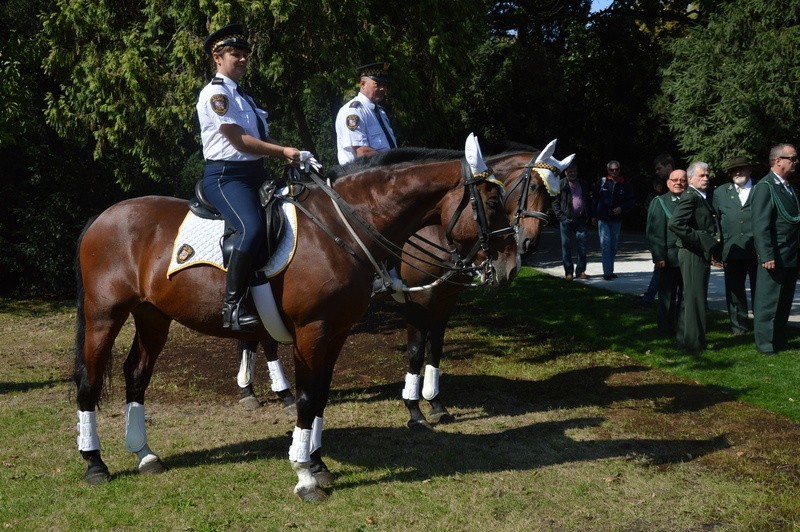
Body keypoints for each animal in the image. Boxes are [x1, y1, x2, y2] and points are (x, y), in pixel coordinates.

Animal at [75, 139, 520, 500]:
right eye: (492, 203)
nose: (510, 266)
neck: (341, 226)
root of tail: (102, 217)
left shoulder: (336, 332)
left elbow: (320, 395)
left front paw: (317, 463)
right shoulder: (314, 331)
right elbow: (307, 397)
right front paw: (305, 476)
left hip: (153, 316)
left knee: (136, 375)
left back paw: (145, 454)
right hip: (104, 315)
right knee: (89, 381)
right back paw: (94, 462)